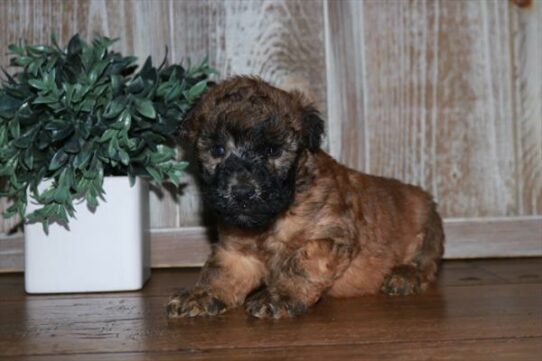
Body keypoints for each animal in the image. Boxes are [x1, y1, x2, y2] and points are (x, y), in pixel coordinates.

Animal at [167, 76, 446, 318]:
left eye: (273, 150)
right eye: (217, 150)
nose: (242, 192)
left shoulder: (330, 237)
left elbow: (299, 265)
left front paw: (279, 297)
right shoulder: (235, 252)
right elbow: (220, 273)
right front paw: (202, 295)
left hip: (425, 225)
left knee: (426, 263)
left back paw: (405, 275)